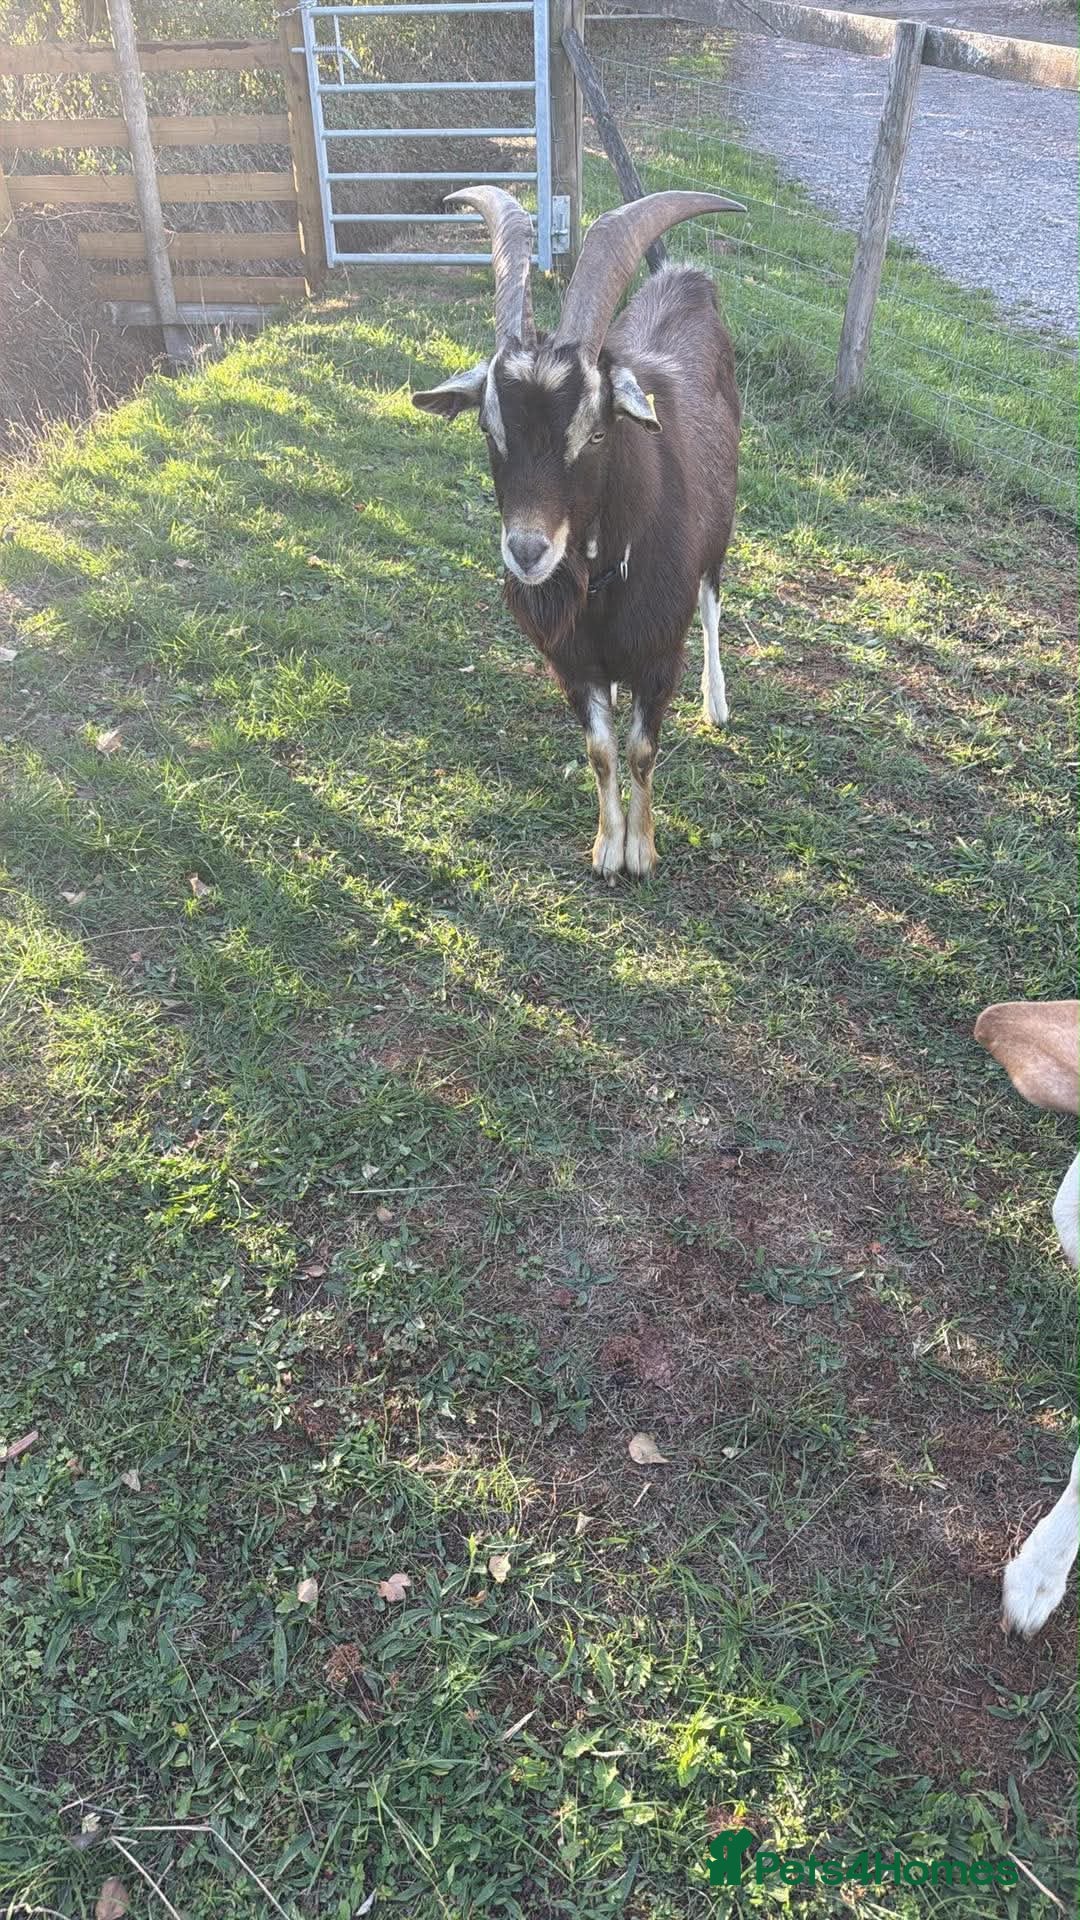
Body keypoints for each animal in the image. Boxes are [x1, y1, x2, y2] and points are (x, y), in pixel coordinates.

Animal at [412, 186, 743, 878]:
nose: (527, 551)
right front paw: (605, 846)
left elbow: (641, 751)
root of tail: (686, 279)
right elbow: (601, 750)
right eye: (489, 429)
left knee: (712, 605)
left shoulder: (658, 655)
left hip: (721, 532)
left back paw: (717, 703)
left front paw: (641, 851)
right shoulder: (572, 661)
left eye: (594, 432)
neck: (602, 576)